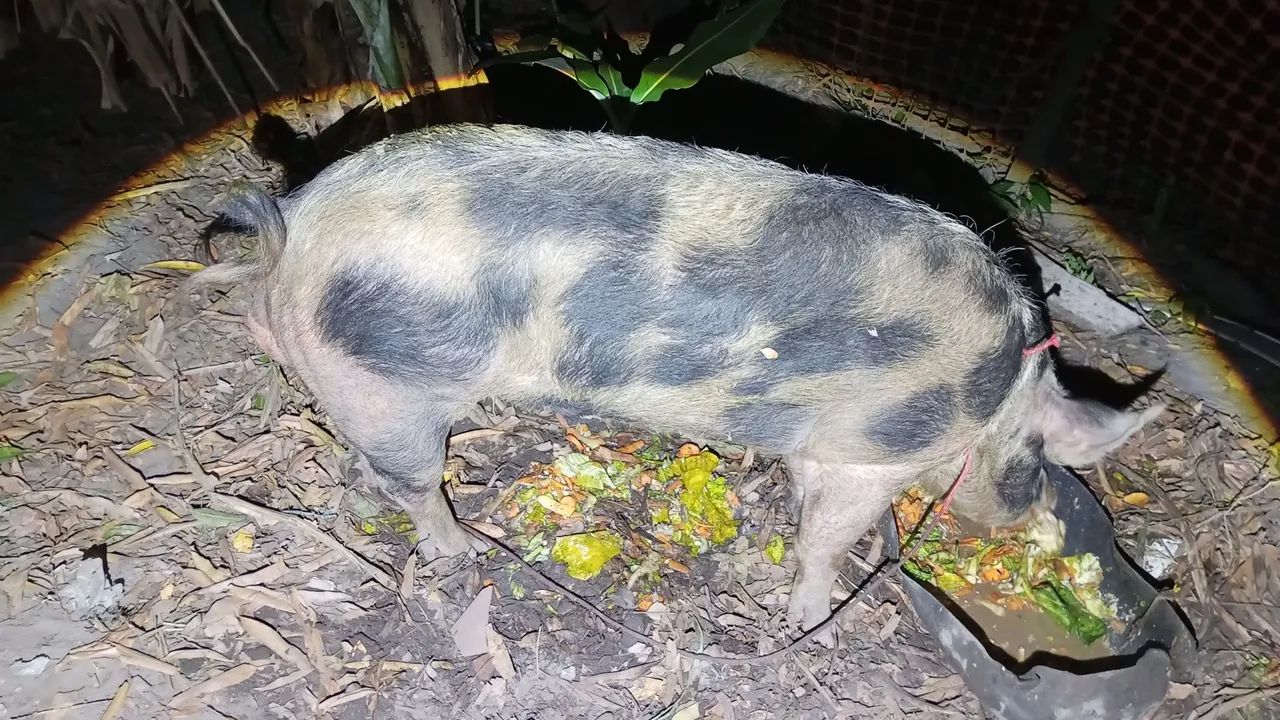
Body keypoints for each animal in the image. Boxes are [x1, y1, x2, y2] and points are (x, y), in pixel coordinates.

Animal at [190, 123, 1162, 637]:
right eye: (1042, 455)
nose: (1028, 508)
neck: (992, 400)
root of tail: (293, 228)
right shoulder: (872, 450)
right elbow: (829, 537)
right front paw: (808, 616)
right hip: (389, 383)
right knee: (415, 484)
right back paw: (459, 550)